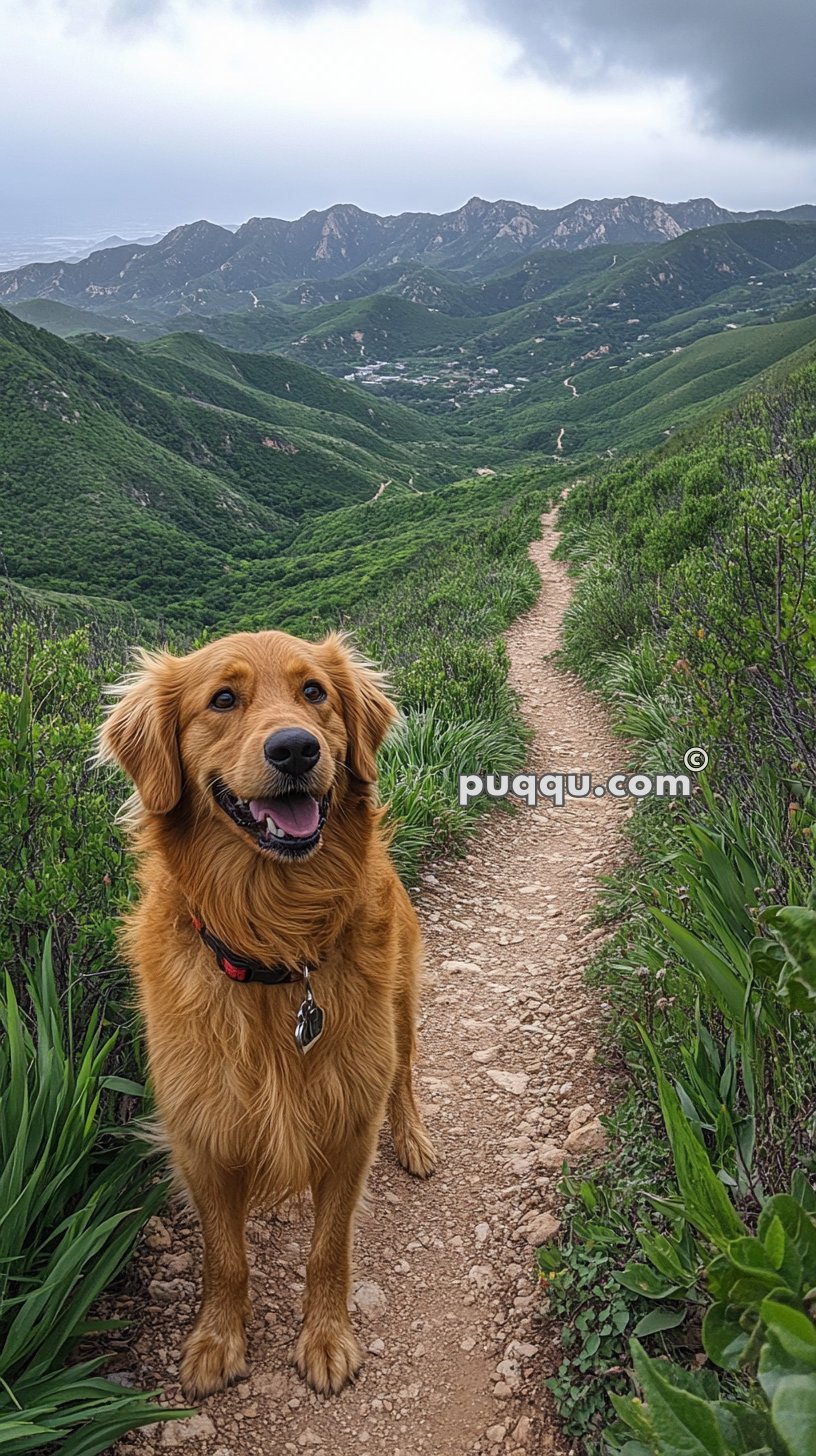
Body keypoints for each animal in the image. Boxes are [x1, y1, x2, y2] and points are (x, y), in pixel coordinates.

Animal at [99, 631, 437, 1403]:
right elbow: (225, 1257)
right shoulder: (200, 1131)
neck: (276, 946)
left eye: (315, 692)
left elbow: (329, 1250)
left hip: (401, 1008)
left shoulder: (350, 1122)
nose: (295, 749)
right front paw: (216, 1343)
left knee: (405, 1077)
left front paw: (327, 1340)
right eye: (223, 699)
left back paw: (414, 1140)